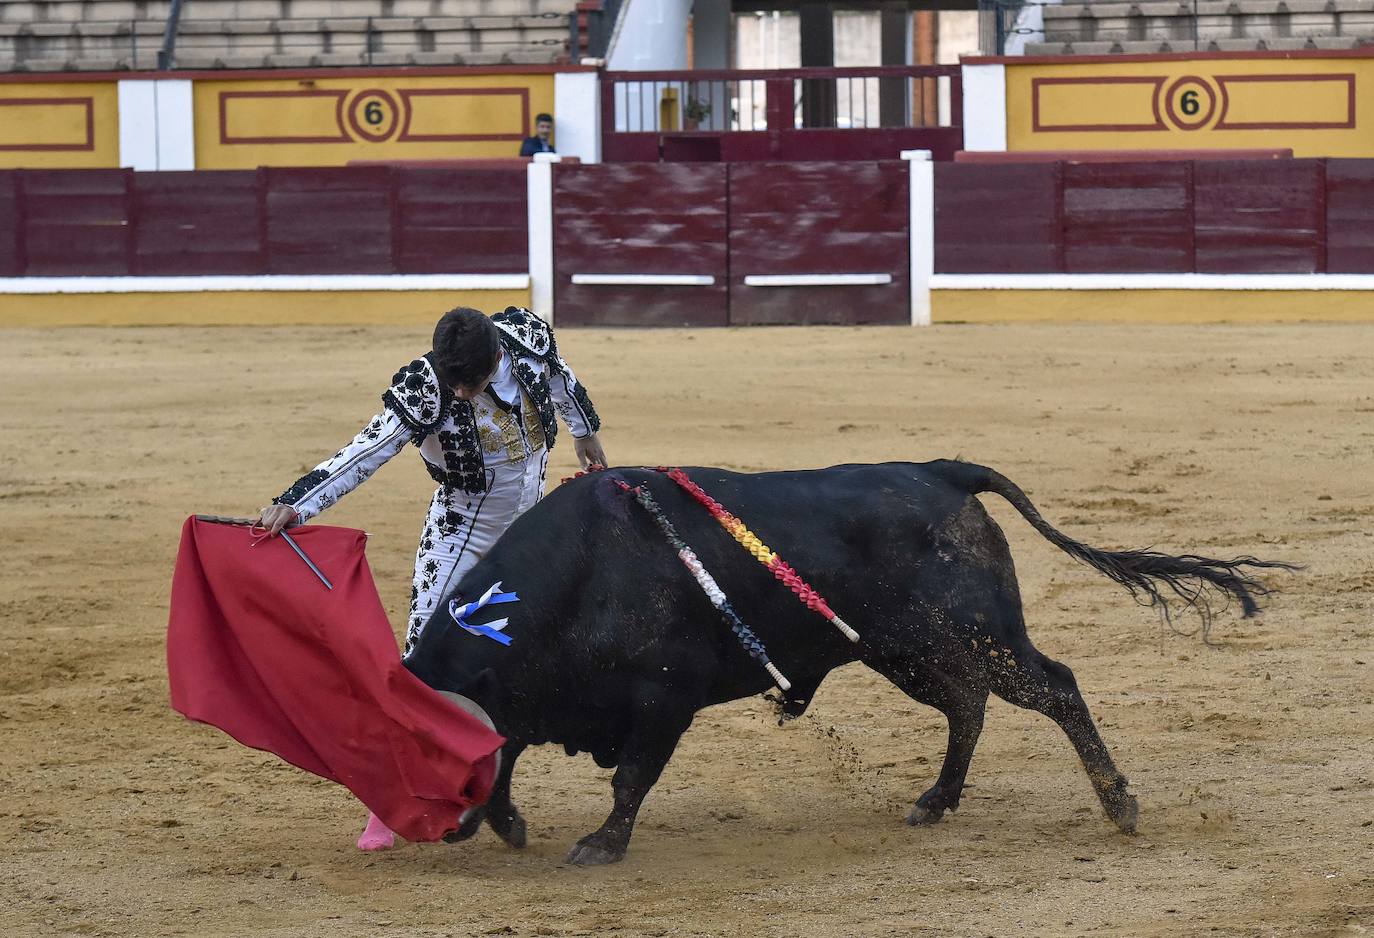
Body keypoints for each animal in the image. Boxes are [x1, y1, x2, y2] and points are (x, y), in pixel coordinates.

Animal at [401, 461, 1291, 867]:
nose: (432, 825)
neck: (580, 573)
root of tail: (942, 471)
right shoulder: (531, 697)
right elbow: (511, 750)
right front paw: (509, 824)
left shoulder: (663, 701)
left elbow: (628, 779)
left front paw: (599, 845)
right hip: (909, 652)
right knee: (968, 706)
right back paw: (935, 801)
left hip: (980, 634)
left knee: (1054, 689)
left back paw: (1118, 803)